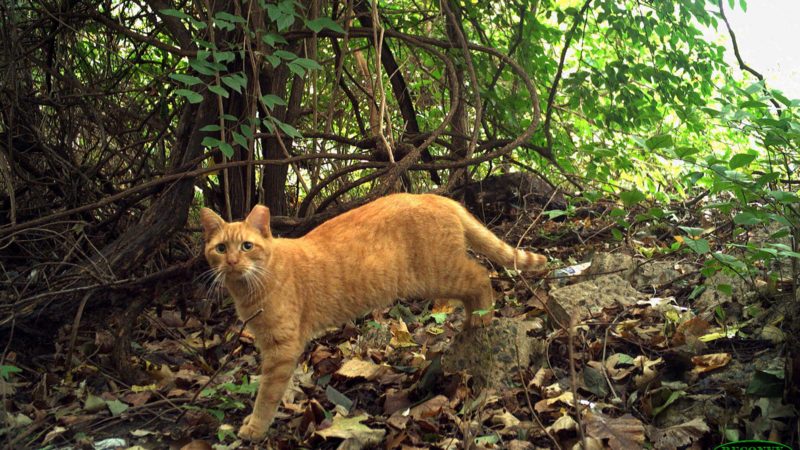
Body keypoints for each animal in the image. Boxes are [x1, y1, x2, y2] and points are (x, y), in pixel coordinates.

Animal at [202, 193, 552, 440]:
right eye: (220, 249)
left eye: (247, 246)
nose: (231, 262)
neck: (252, 285)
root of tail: (434, 195)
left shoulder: (281, 349)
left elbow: (266, 395)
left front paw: (254, 428)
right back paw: (471, 321)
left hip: (439, 274)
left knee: (481, 276)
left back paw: (481, 319)